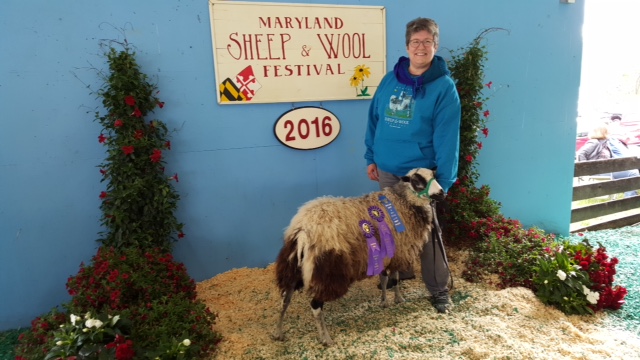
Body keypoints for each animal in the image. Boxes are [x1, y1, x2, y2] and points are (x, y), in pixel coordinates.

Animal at [272, 168, 444, 346]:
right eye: (417, 181)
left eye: (434, 176)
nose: (441, 193)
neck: (403, 202)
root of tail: (303, 232)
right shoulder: (398, 252)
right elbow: (395, 279)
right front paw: (399, 299)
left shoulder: (385, 255)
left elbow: (384, 279)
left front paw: (384, 301)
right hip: (326, 274)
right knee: (315, 306)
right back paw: (325, 338)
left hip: (292, 269)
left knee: (285, 299)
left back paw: (278, 332)